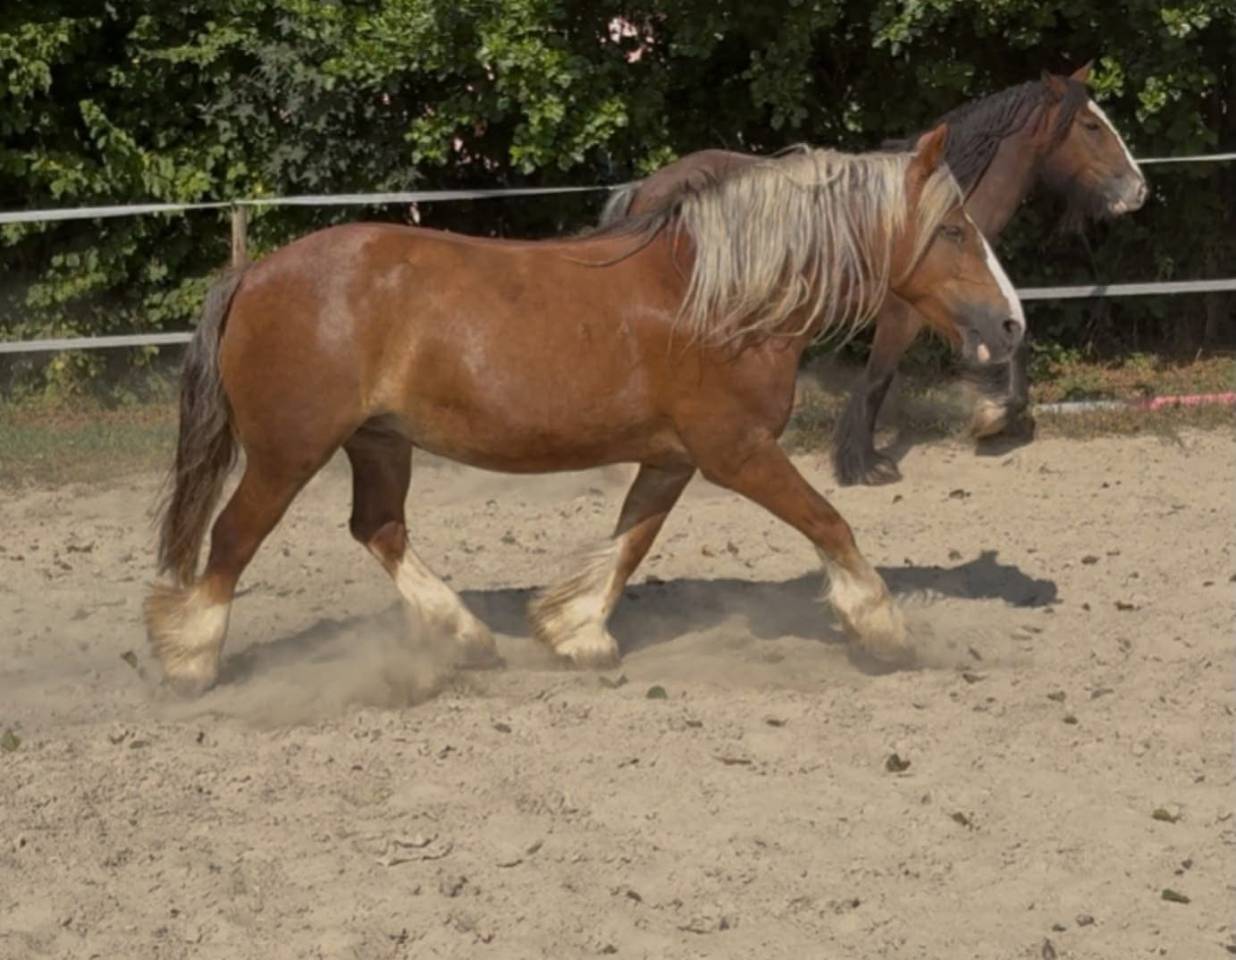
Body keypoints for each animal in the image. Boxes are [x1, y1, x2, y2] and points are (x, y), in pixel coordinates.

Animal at [145, 125, 1025, 695]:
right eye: (954, 229)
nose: (1012, 324)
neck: (724, 299)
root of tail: (254, 274)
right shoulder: (738, 453)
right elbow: (830, 523)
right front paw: (884, 631)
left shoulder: (674, 458)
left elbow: (630, 542)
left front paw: (575, 635)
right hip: (289, 451)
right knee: (234, 537)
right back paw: (190, 661)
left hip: (379, 441)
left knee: (379, 529)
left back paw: (467, 640)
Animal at [599, 63, 1147, 485]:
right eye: (1092, 127)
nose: (1138, 189)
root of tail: (644, 189)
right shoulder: (902, 315)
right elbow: (877, 380)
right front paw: (864, 463)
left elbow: (1014, 343)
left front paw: (995, 418)